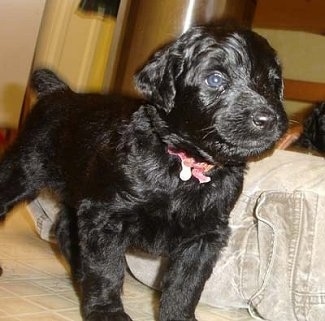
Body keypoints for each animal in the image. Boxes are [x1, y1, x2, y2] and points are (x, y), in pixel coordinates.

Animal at [0, 26, 286, 318]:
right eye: (215, 79)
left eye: (273, 83)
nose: (268, 119)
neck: (183, 166)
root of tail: (60, 93)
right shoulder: (105, 216)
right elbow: (107, 269)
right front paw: (107, 311)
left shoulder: (205, 237)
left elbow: (186, 285)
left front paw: (178, 316)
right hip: (22, 172)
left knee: (64, 229)